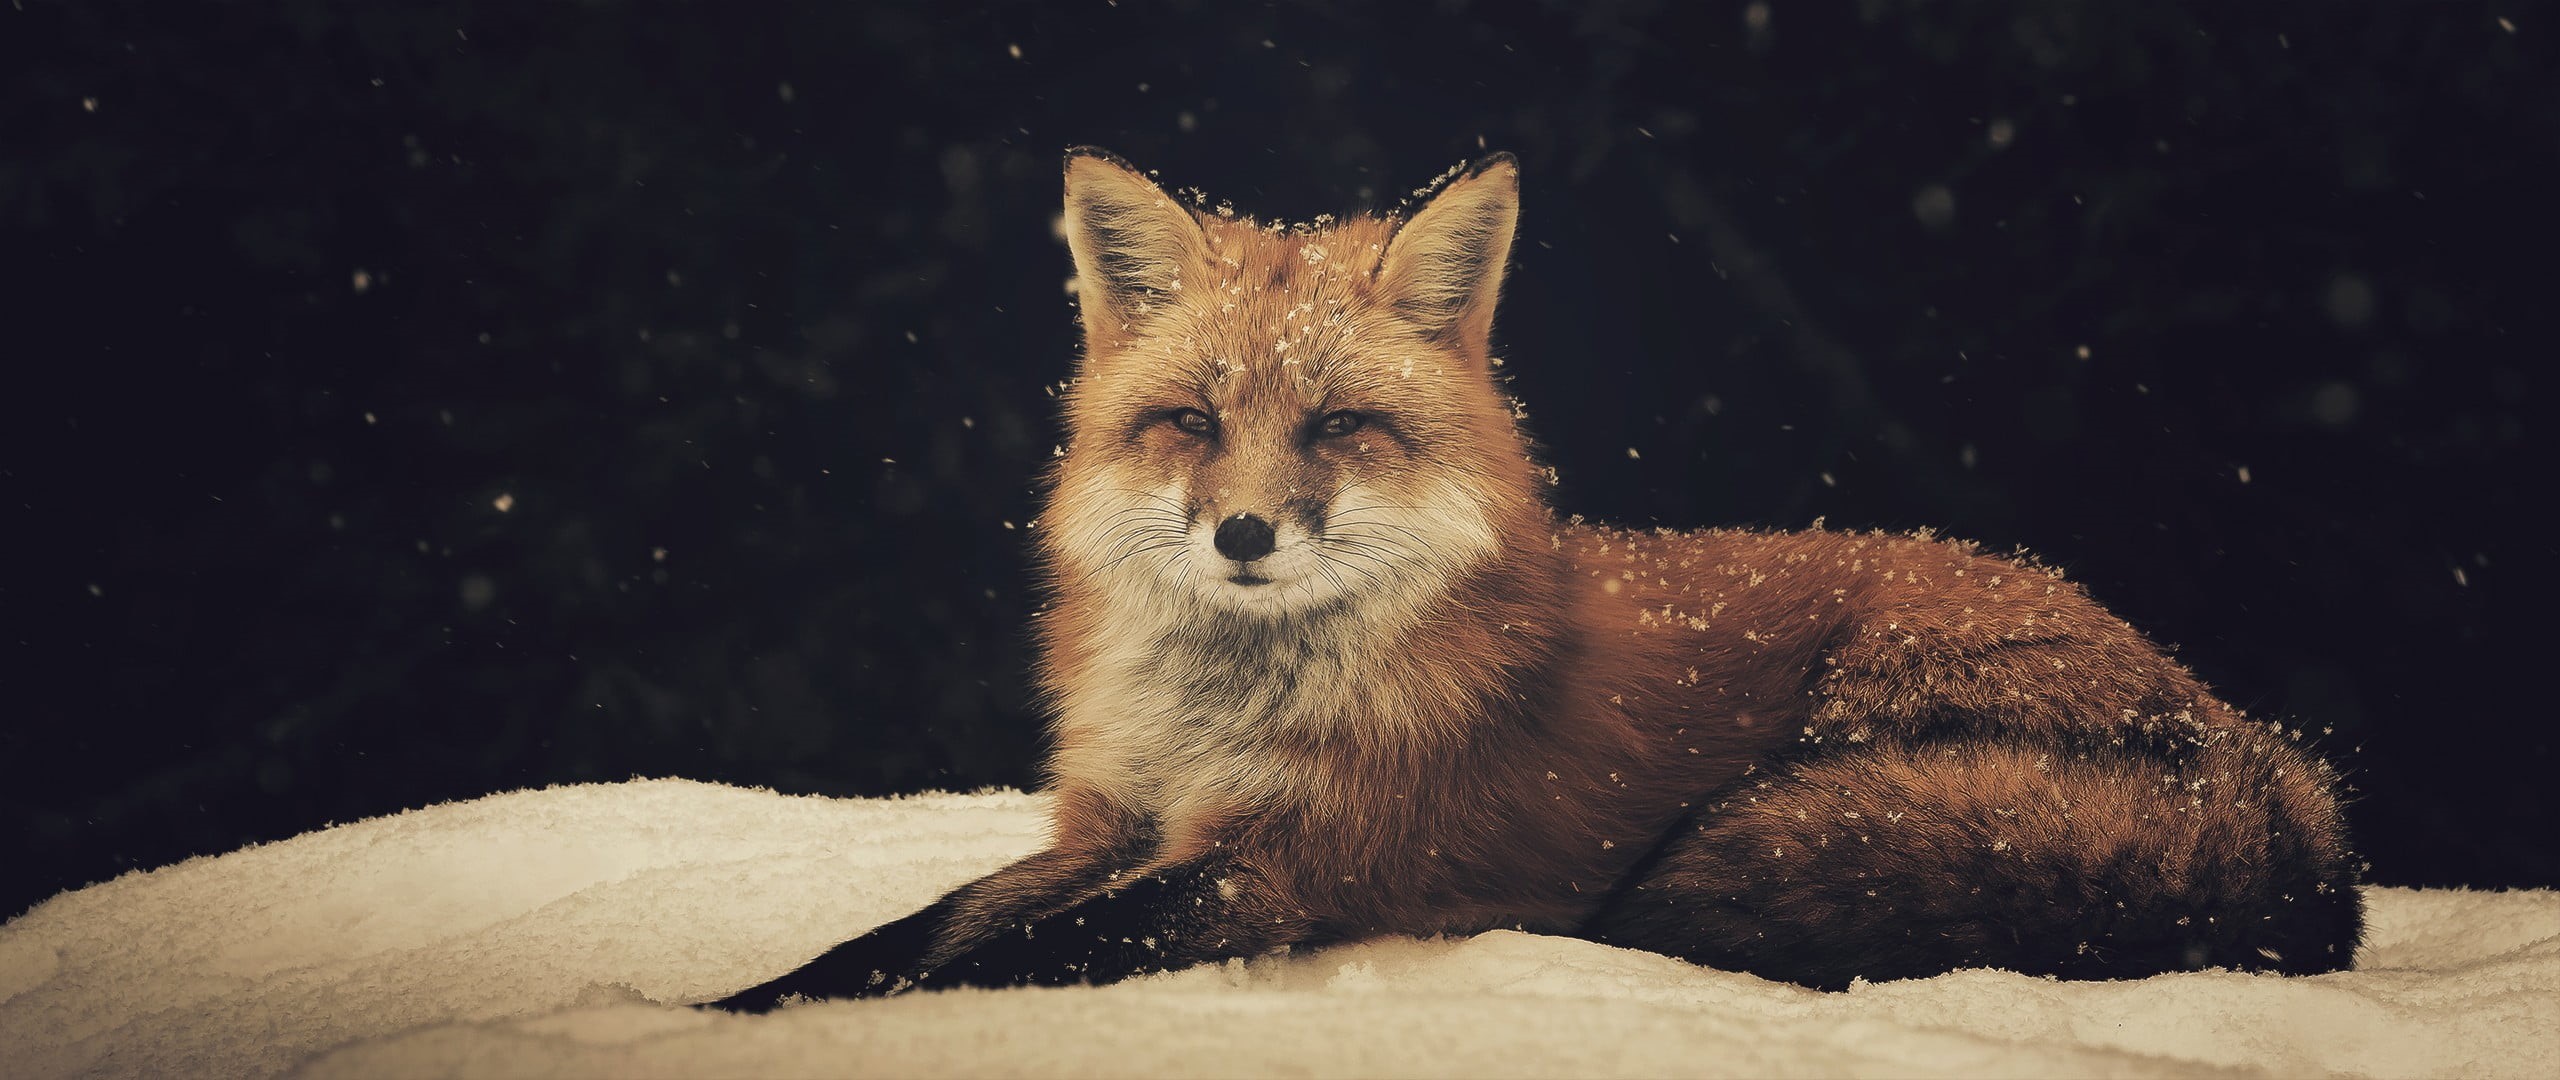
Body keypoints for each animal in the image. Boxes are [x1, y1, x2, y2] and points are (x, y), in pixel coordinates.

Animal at [709, 148, 2363, 1010]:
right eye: (1191, 422)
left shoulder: (1285, 868)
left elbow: (982, 968)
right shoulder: (1111, 825)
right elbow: (905, 937)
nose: (1243, 535)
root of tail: (2278, 784)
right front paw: (727, 1005)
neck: (1225, 717)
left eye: (1338, 427)